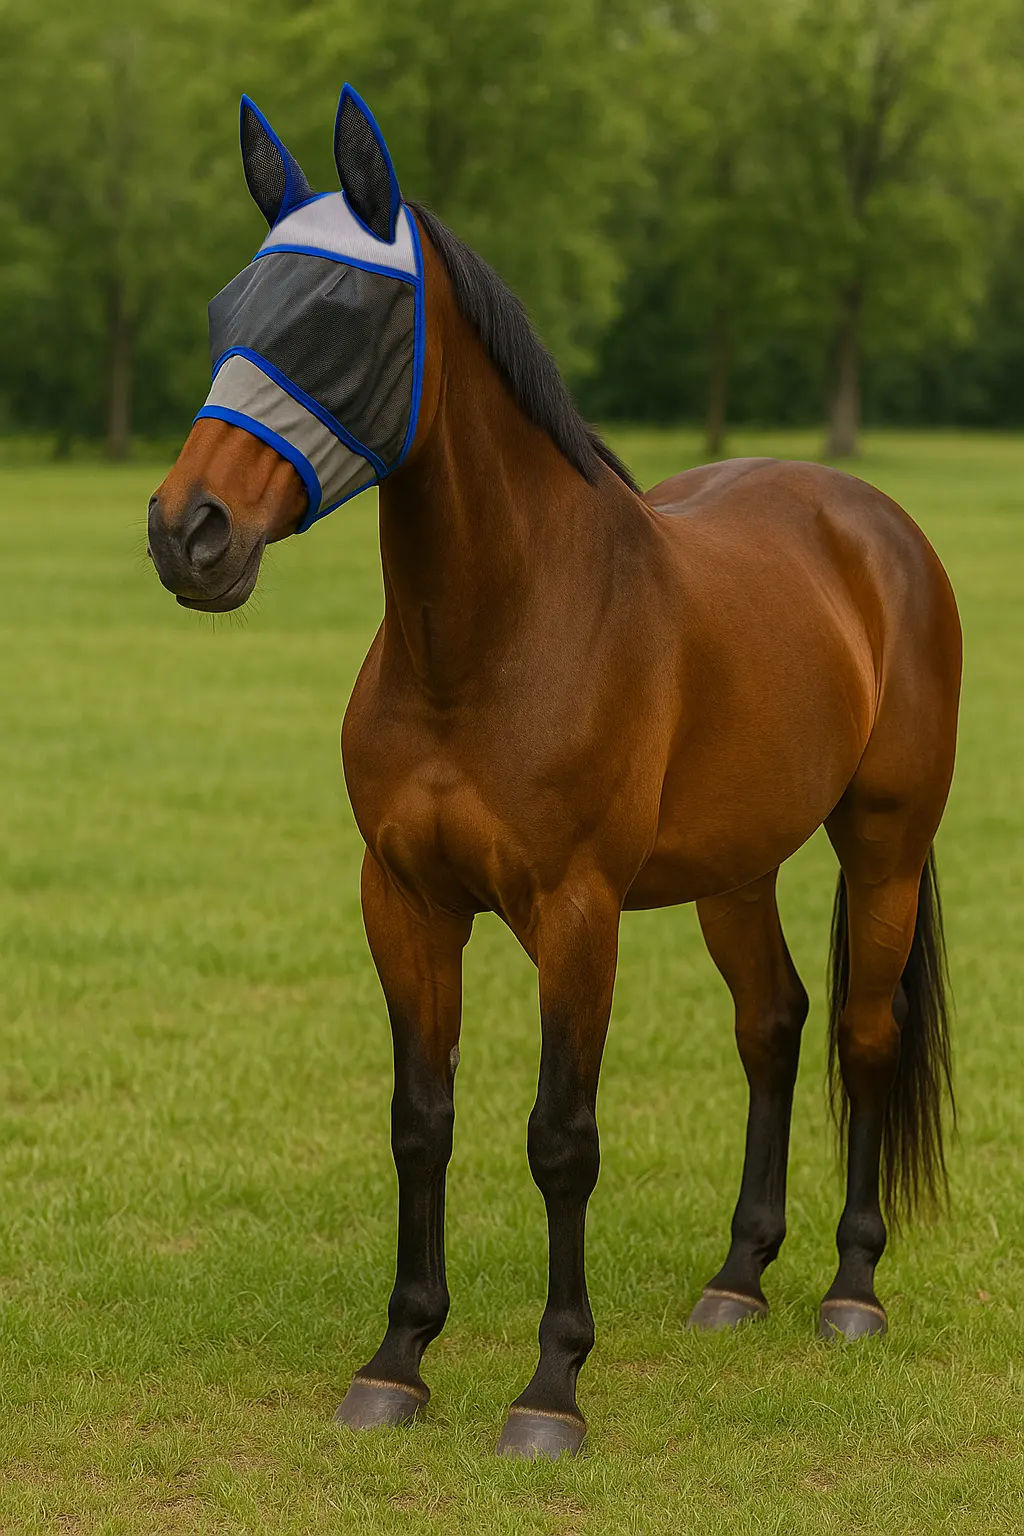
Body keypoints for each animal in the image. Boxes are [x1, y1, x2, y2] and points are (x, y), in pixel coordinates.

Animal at [147, 87, 961, 1460]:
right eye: (225, 312)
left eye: (341, 317)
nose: (186, 534)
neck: (491, 638)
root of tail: (872, 525)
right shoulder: (404, 902)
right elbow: (421, 1121)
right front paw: (397, 1361)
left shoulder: (576, 913)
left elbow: (559, 1139)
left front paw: (549, 1389)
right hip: (732, 872)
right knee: (772, 1024)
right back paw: (737, 1280)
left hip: (884, 844)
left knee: (862, 1034)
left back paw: (850, 1291)